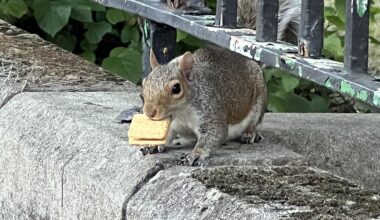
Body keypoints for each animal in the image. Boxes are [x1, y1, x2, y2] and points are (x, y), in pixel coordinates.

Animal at [138, 0, 302, 165]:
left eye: (176, 88)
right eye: (143, 88)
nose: (149, 112)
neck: (181, 112)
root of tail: (245, 59)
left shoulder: (210, 111)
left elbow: (214, 133)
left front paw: (196, 153)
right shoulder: (172, 123)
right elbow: (165, 135)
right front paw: (152, 144)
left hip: (260, 97)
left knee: (254, 122)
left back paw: (250, 134)